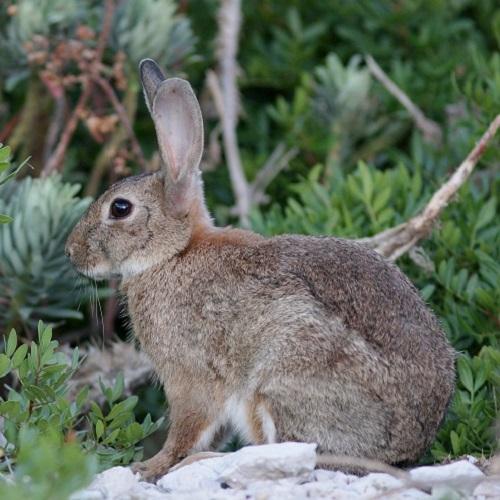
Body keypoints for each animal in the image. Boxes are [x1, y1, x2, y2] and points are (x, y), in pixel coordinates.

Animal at [66, 58, 458, 480]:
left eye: (120, 208)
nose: (71, 252)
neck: (175, 253)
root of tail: (406, 445)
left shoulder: (189, 376)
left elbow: (186, 428)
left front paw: (148, 466)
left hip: (278, 379)